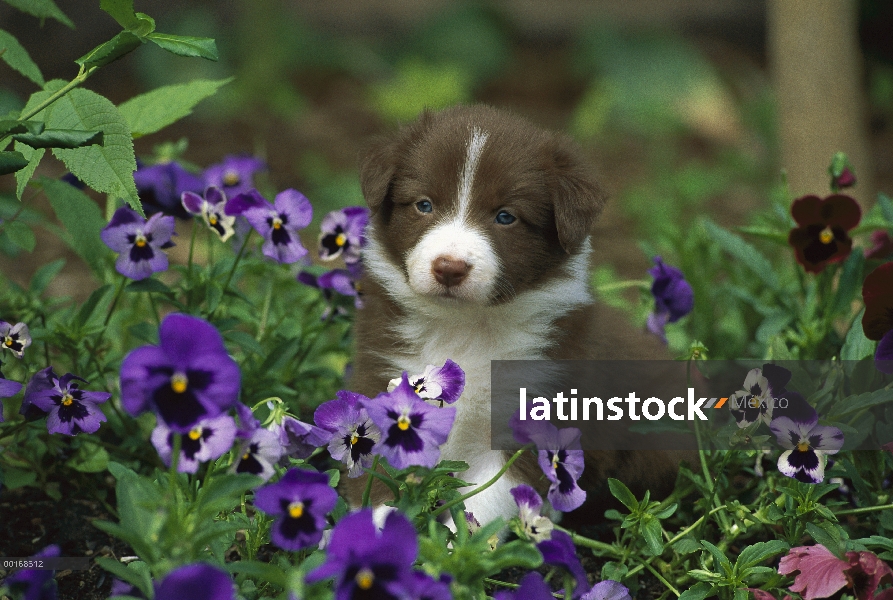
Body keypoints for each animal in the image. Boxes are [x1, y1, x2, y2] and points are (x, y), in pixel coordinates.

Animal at [350, 106, 684, 524]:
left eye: (506, 216)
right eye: (424, 205)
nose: (449, 267)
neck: (464, 329)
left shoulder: (536, 422)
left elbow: (480, 508)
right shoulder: (386, 383)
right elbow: (378, 486)